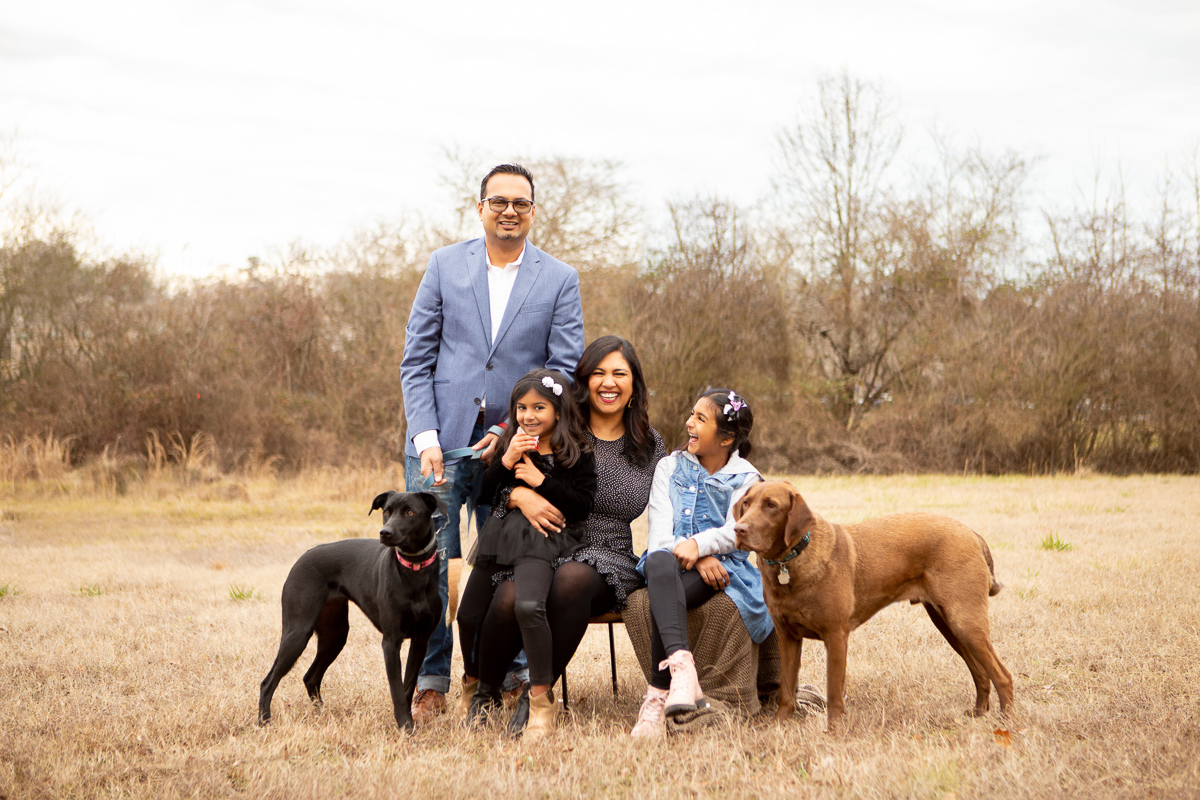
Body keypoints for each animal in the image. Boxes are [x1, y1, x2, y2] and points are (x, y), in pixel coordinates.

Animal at [260, 491, 444, 729]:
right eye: (387, 511)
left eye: (410, 512)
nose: (385, 533)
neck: (413, 571)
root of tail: (302, 558)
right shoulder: (391, 642)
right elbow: (396, 690)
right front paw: (405, 725)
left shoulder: (421, 639)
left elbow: (407, 686)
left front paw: (407, 724)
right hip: (297, 633)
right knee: (268, 682)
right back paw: (263, 722)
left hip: (335, 635)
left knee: (310, 677)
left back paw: (322, 715)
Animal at [729, 482, 1012, 734]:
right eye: (747, 503)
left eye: (772, 505)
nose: (738, 529)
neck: (790, 562)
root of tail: (972, 533)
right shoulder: (787, 637)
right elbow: (787, 690)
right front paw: (778, 727)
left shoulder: (836, 636)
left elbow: (834, 692)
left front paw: (833, 732)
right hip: (947, 622)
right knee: (981, 672)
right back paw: (978, 714)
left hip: (965, 621)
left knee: (1002, 675)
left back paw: (1006, 723)